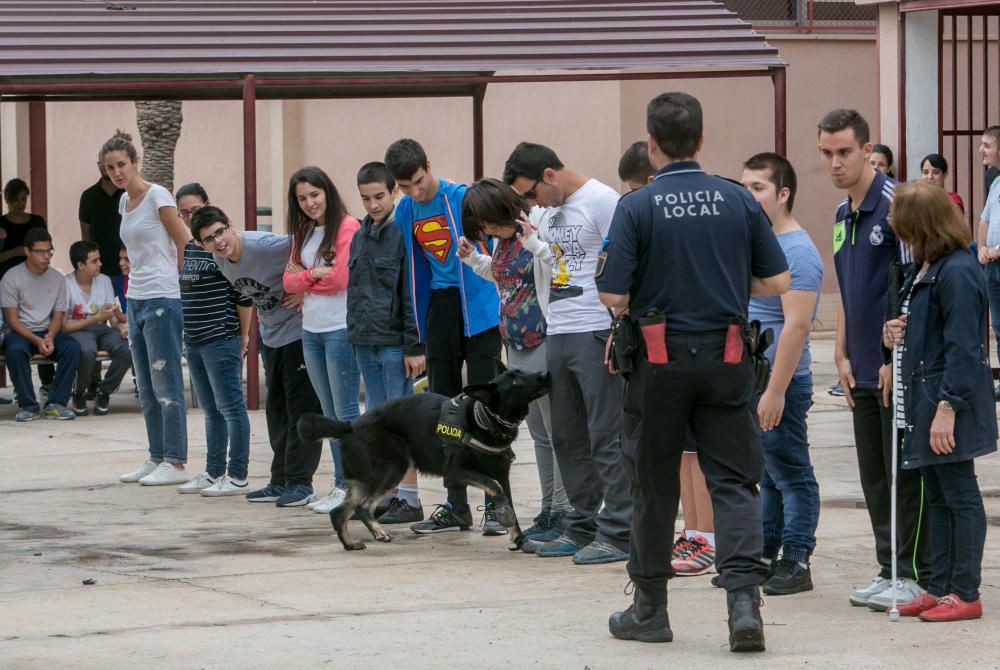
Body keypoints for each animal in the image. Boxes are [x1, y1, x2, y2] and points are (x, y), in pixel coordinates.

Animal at [296, 370, 552, 552]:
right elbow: (495, 488)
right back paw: (378, 532)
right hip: (394, 467)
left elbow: (507, 500)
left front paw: (519, 539)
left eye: (523, 372)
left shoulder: (501, 473)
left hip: (368, 479)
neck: (485, 418)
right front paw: (506, 518)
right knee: (362, 506)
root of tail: (351, 426)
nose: (546, 374)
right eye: (516, 381)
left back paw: (349, 543)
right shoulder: (458, 470)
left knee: (339, 512)